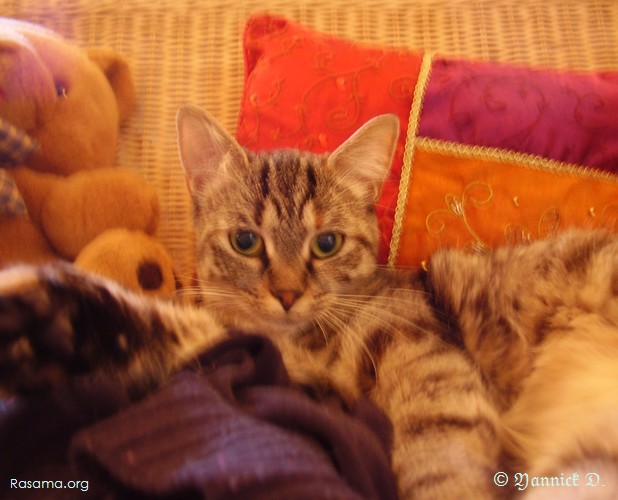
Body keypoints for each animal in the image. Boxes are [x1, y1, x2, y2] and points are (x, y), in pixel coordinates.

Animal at [1, 104, 616, 496]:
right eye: (246, 241)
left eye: (327, 243)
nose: (288, 293)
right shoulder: (269, 359)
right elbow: (178, 334)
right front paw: (58, 326)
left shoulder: (422, 351)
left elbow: (441, 456)